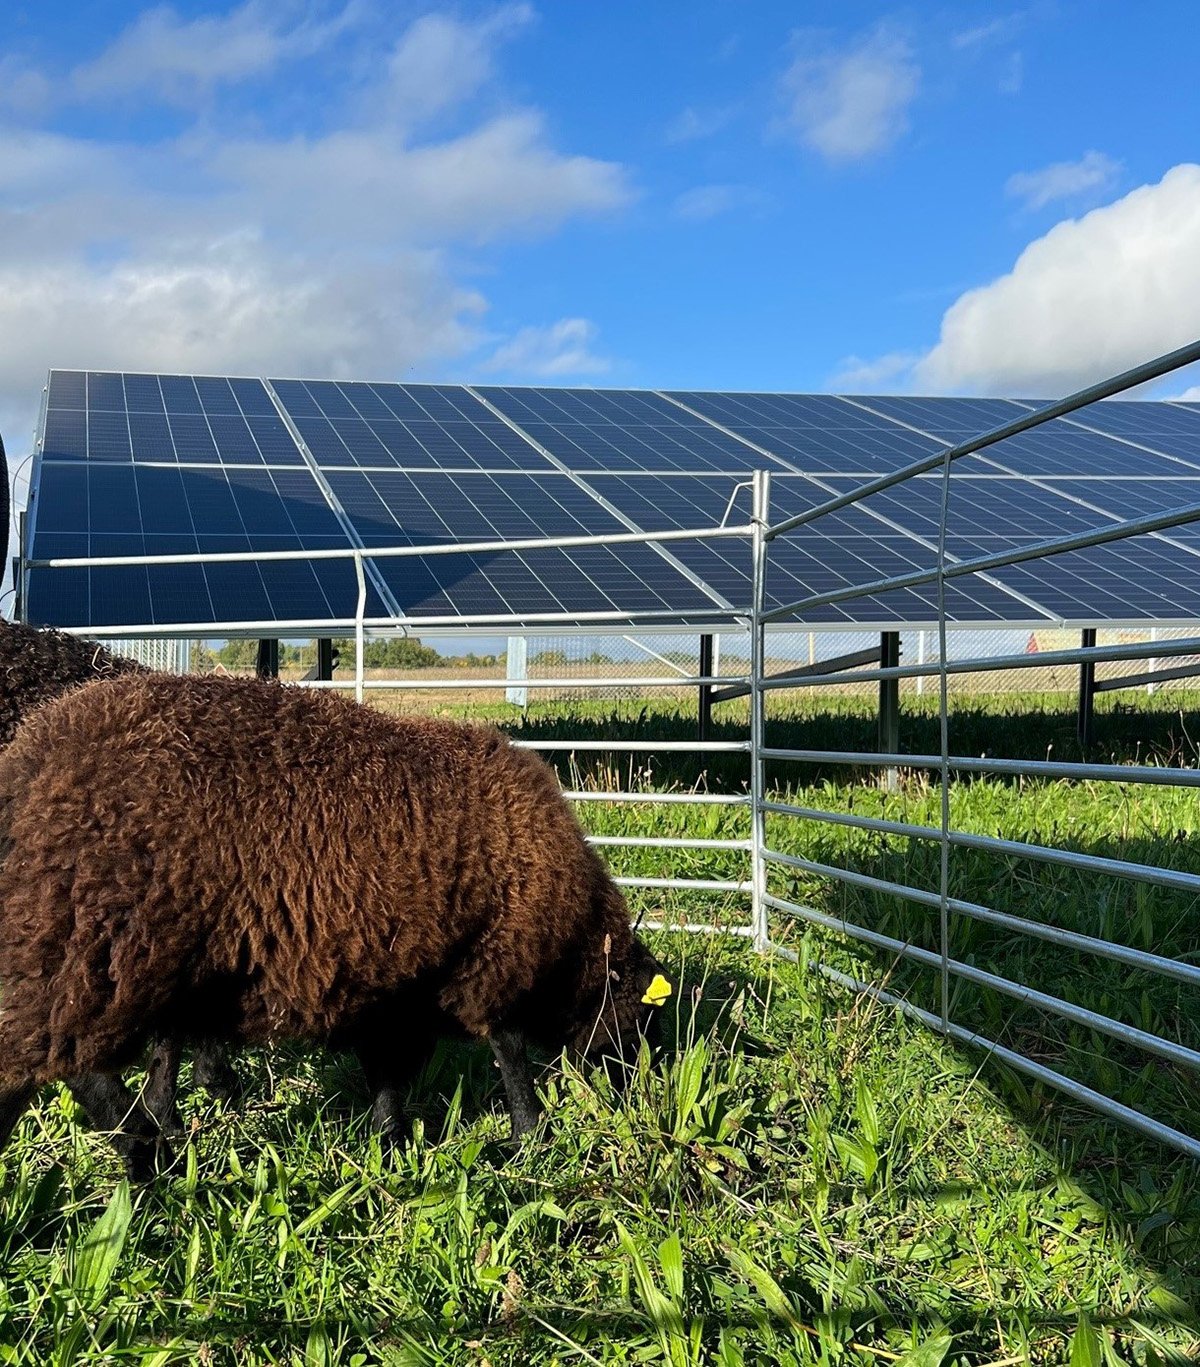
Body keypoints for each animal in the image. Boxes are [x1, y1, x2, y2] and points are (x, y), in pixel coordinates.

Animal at [0, 672, 672, 1175]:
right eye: (645, 1020)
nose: (643, 1093)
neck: (574, 940)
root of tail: (30, 761)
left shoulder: (396, 982)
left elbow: (385, 1073)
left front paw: (388, 1144)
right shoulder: (490, 960)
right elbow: (506, 1054)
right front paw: (527, 1135)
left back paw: (161, 1139)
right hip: (94, 942)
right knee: (71, 1065)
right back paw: (146, 1154)